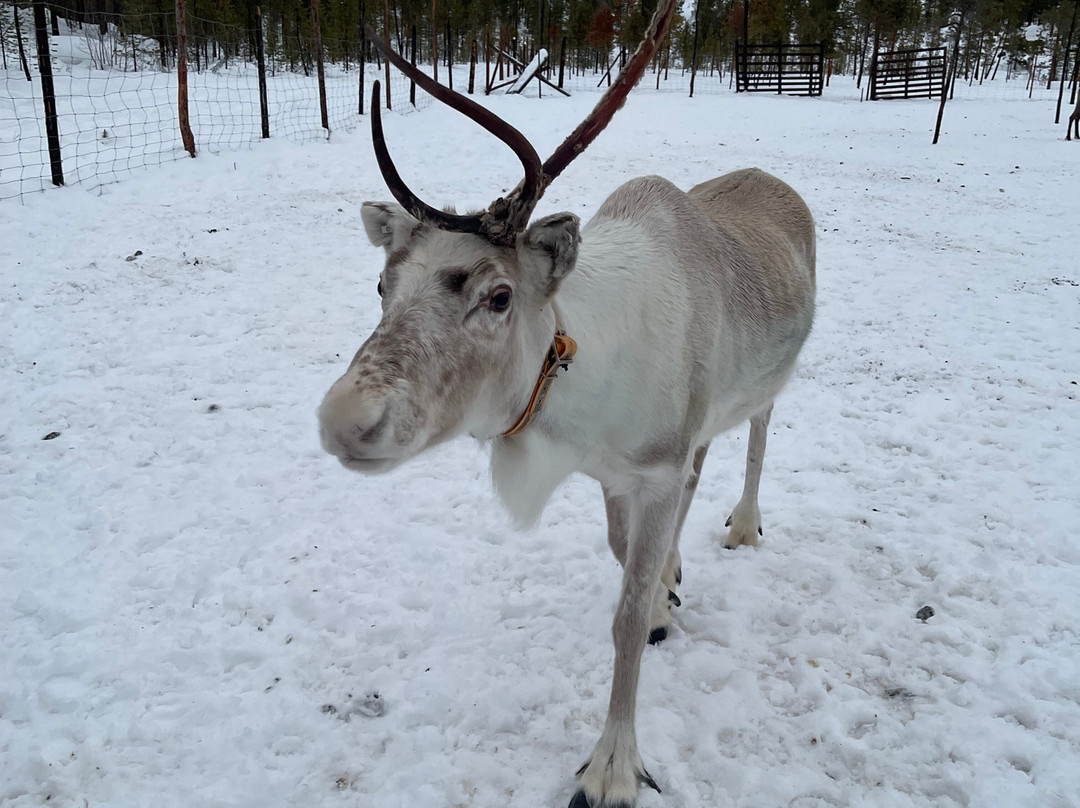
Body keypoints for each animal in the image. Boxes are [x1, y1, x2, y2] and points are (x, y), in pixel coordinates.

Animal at [317, 1, 816, 805]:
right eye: (382, 285)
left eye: (498, 296)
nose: (343, 422)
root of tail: (777, 182)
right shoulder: (614, 473)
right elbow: (624, 559)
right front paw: (667, 594)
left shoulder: (652, 469)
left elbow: (625, 617)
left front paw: (612, 767)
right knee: (705, 462)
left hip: (773, 380)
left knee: (758, 434)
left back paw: (744, 525)